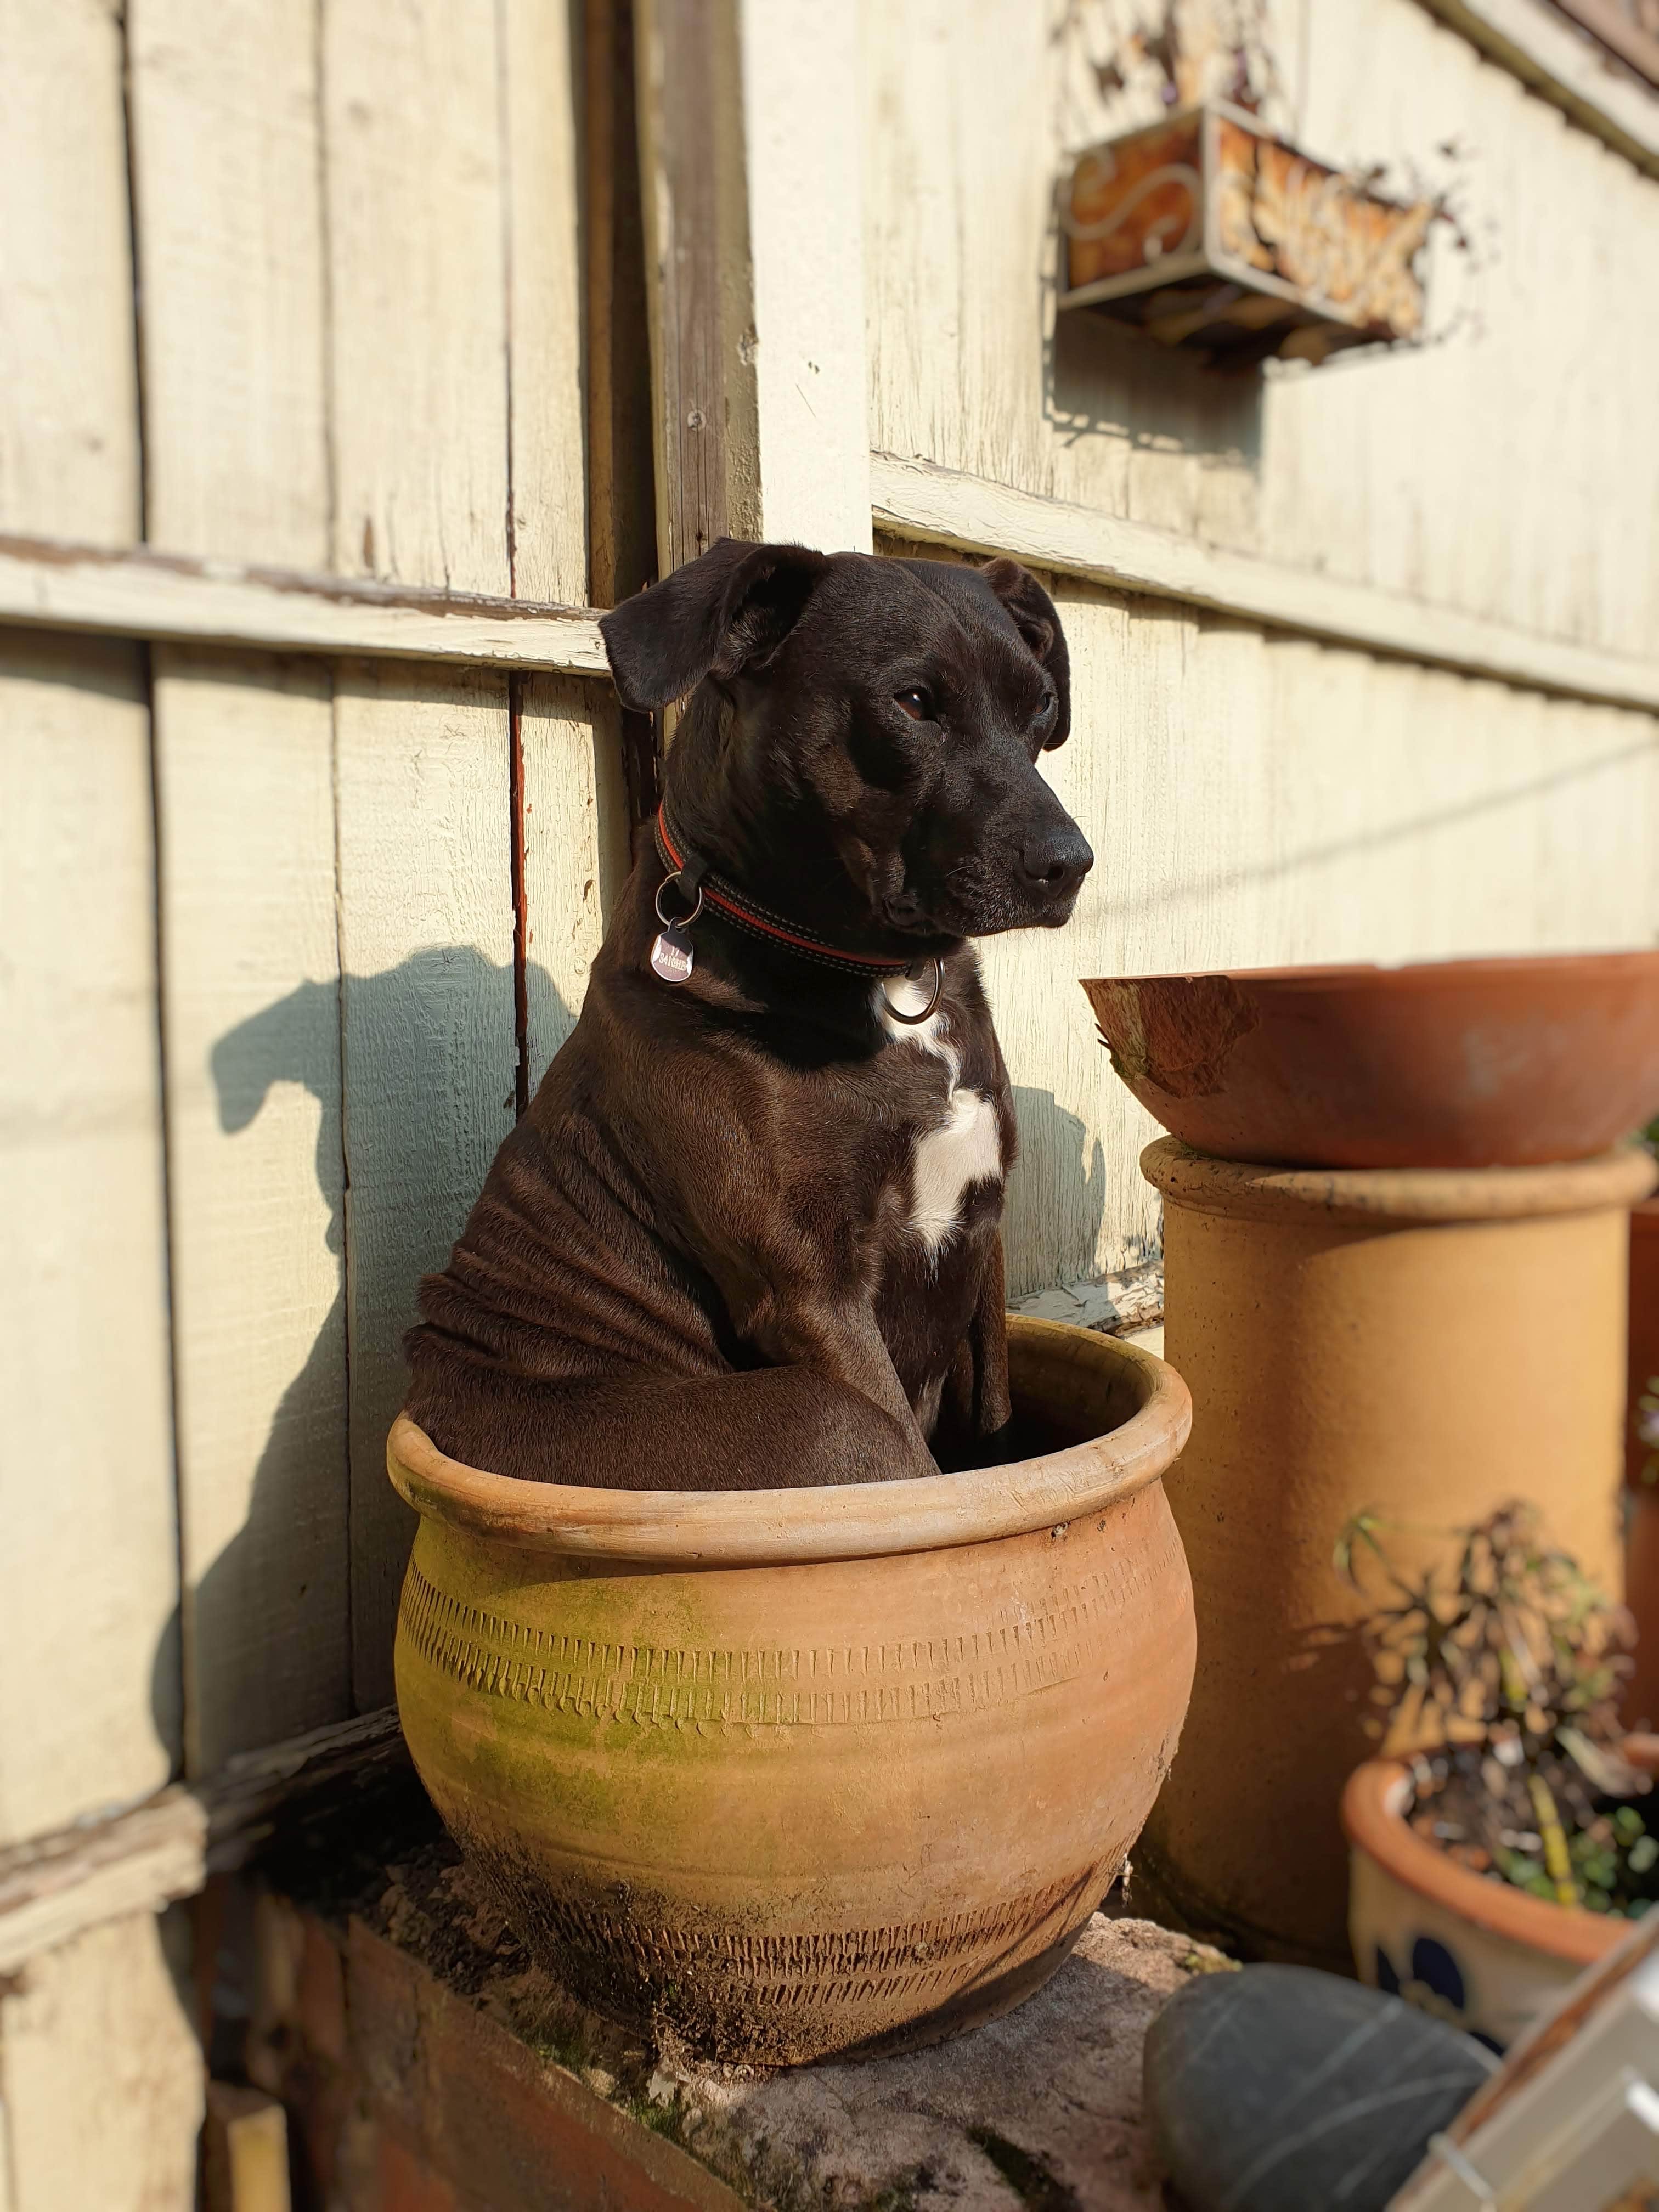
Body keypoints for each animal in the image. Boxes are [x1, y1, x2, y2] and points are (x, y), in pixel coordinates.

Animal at [407, 535, 1092, 1486]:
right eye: (914, 702)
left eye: (1042, 708)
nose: (1070, 864)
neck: (881, 980)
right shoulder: (810, 1290)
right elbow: (921, 1467)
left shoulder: (980, 1238)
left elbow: (997, 1424)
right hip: (827, 1426)